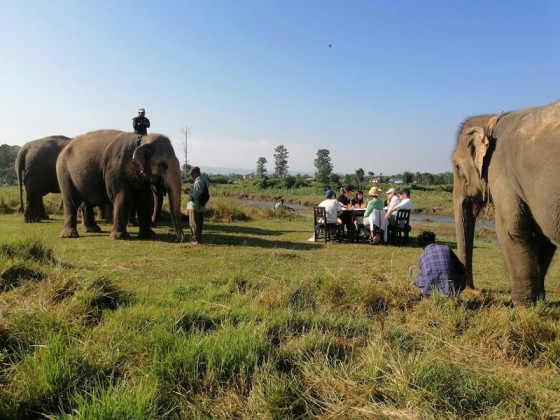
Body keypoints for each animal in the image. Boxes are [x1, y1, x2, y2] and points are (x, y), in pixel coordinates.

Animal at [56, 130, 184, 241]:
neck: (142, 140)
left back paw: (92, 230)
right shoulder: (115, 169)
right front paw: (120, 237)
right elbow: (122, 197)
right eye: (163, 165)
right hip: (64, 172)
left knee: (86, 202)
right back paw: (69, 235)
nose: (176, 239)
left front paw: (149, 236)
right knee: (71, 201)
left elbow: (145, 200)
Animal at [452, 101, 560, 306]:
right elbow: (542, 238)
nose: (477, 291)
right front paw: (538, 303)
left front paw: (521, 306)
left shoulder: (503, 172)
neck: (491, 122)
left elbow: (512, 230)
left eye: (457, 167)